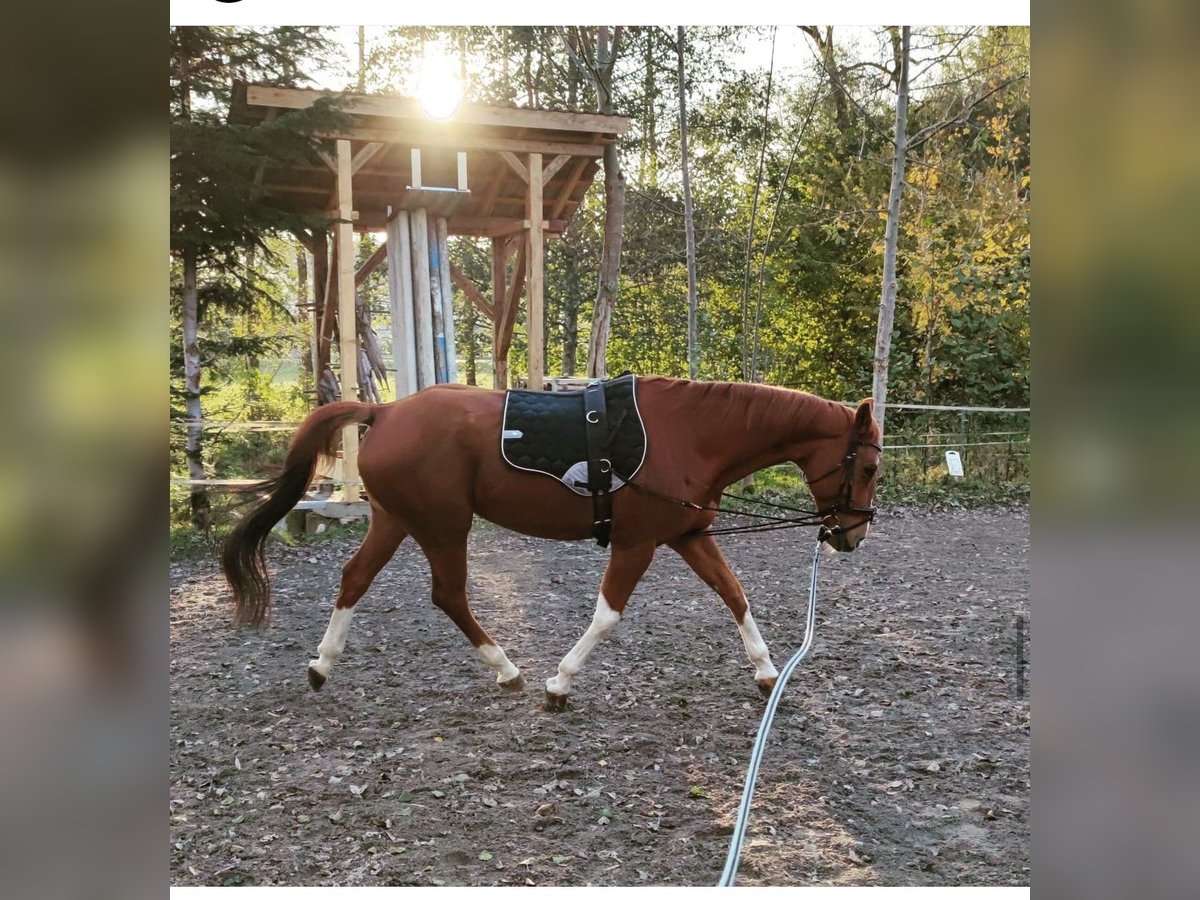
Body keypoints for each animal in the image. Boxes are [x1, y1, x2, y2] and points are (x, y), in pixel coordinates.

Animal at [223, 379, 883, 710]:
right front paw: (559, 684)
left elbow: (735, 593)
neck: (688, 435)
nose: (853, 535)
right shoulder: (638, 543)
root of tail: (384, 412)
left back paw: (321, 665)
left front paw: (769, 673)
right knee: (448, 595)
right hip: (442, 526)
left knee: (356, 579)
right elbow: (608, 616)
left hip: (397, 520)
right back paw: (508, 670)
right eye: (871, 467)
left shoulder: (687, 535)